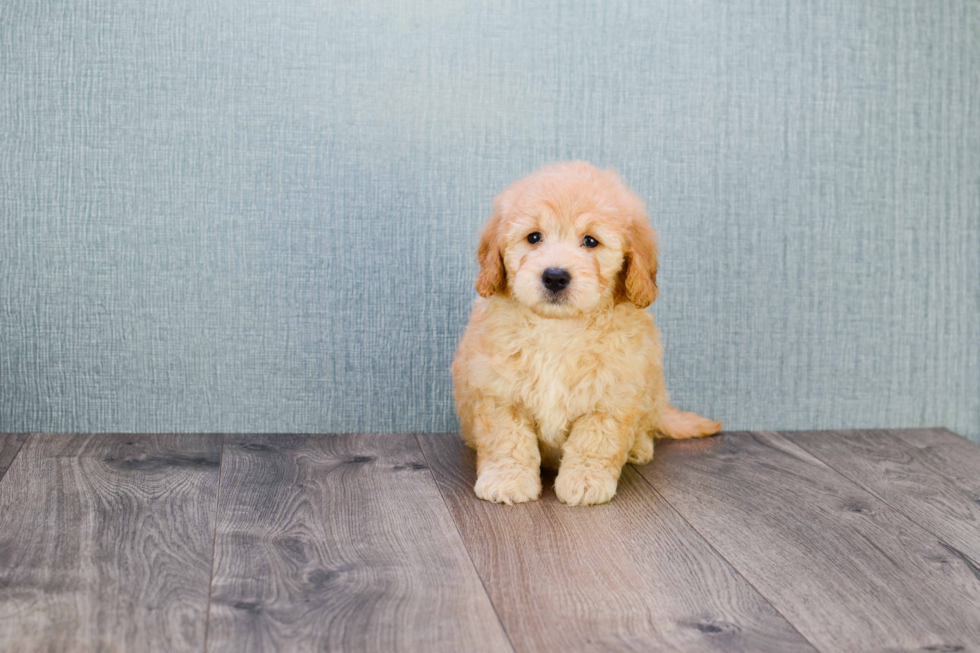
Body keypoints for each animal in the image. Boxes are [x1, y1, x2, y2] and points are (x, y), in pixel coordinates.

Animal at [452, 162, 720, 504]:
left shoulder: (613, 395)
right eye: (533, 237)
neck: (559, 326)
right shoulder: (498, 391)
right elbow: (507, 439)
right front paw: (508, 480)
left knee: (647, 427)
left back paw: (639, 448)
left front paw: (585, 481)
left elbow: (594, 442)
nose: (555, 276)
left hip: (652, 392)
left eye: (591, 241)